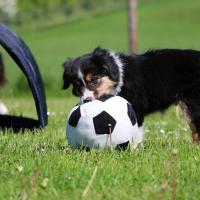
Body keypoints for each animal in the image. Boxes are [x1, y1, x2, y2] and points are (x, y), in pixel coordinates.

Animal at [63, 47, 200, 142]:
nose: (86, 101)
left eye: (94, 79)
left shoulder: (136, 107)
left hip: (192, 104)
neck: (120, 77)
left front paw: (133, 151)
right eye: (77, 85)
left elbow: (136, 132)